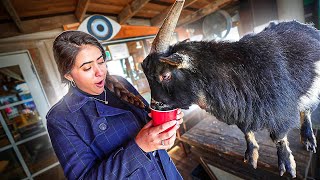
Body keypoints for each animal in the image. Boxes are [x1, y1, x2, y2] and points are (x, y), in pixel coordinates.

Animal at [143, 0, 320, 177]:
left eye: (165, 75)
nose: (154, 106)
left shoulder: (280, 110)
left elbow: (279, 137)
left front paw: (286, 162)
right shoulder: (240, 110)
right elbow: (246, 131)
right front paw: (251, 154)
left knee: (307, 110)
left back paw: (308, 138)